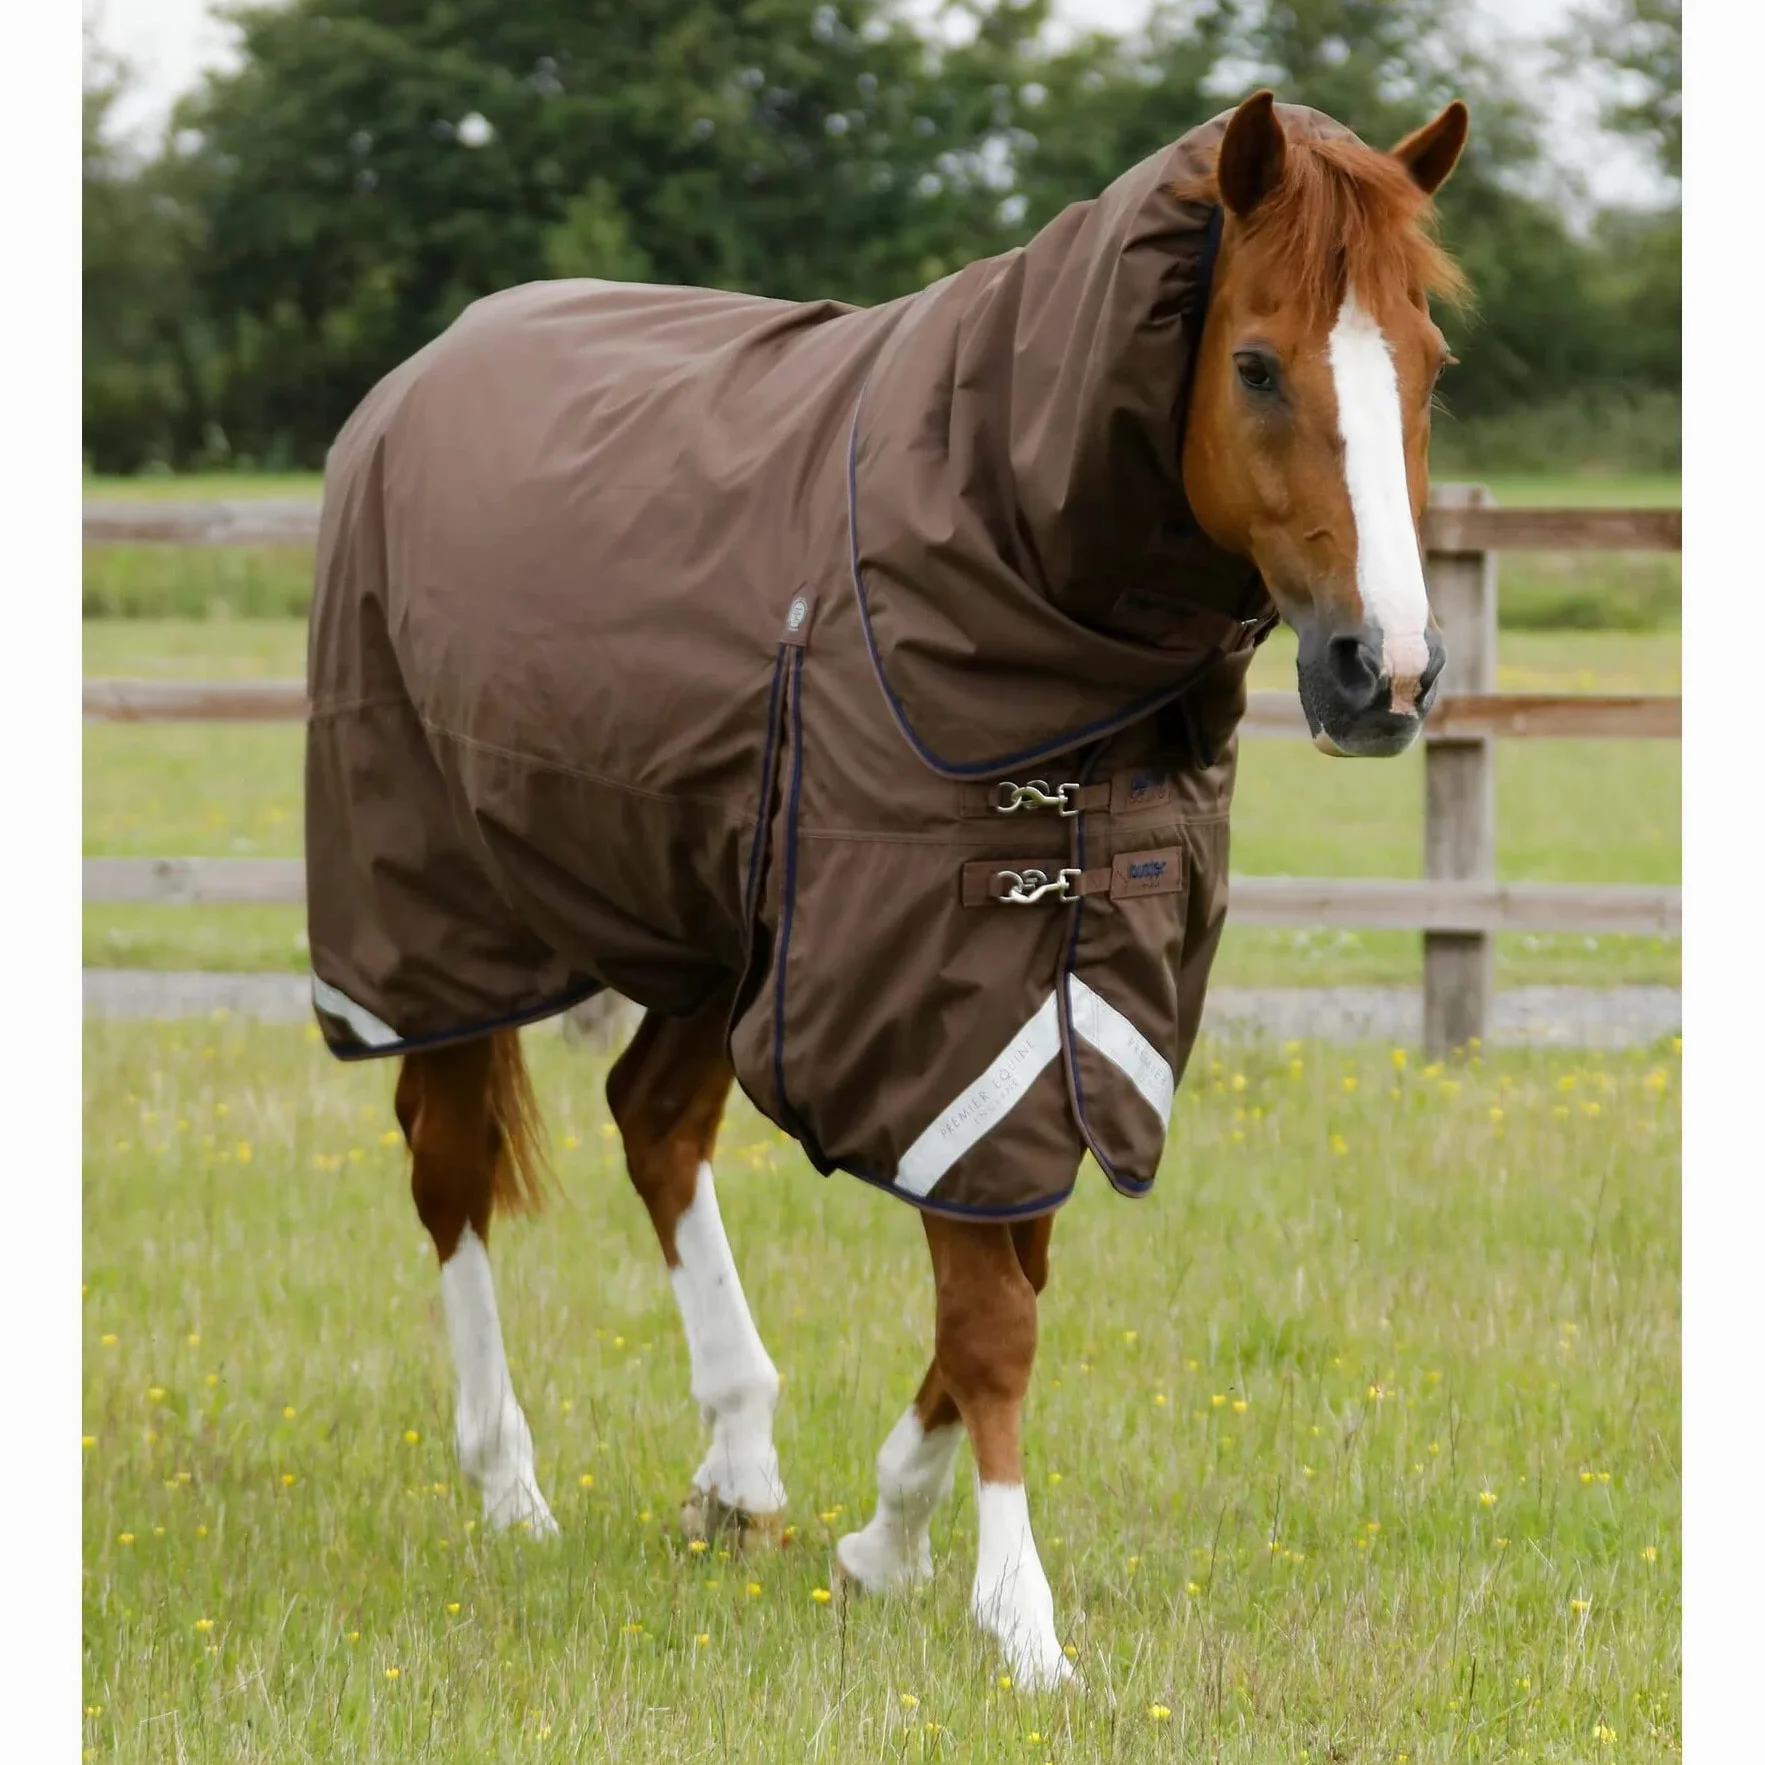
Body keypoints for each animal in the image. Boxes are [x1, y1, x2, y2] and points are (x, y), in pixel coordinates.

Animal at [305, 91, 1469, 1691]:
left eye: (1428, 365)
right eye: (1253, 365)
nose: (1387, 672)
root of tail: (413, 378)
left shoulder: (1063, 1008)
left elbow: (1012, 1275)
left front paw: (882, 1542)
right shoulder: (928, 990)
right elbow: (993, 1320)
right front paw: (1022, 1621)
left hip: (718, 929)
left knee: (653, 1125)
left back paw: (738, 1468)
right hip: (431, 915)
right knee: (450, 1164)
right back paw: (512, 1486)